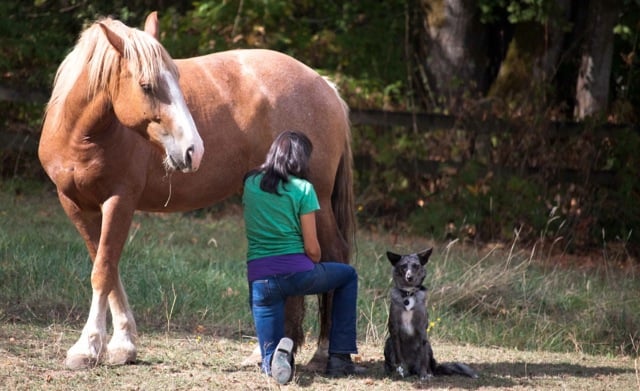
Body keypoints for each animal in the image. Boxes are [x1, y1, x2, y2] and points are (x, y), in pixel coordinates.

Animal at [38, 10, 356, 370]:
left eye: (177, 77)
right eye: (146, 85)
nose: (194, 150)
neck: (81, 133)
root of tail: (324, 85)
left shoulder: (119, 202)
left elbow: (103, 271)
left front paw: (88, 346)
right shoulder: (76, 205)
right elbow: (108, 267)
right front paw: (123, 344)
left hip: (318, 202)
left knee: (335, 255)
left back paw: (323, 351)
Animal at [382, 250, 478, 382]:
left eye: (416, 266)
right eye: (403, 266)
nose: (409, 277)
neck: (408, 294)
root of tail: (412, 368)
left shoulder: (422, 330)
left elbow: (423, 359)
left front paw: (423, 375)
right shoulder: (394, 329)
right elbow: (399, 358)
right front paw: (401, 371)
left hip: (428, 346)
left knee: (428, 364)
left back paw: (428, 373)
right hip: (388, 342)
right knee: (390, 362)